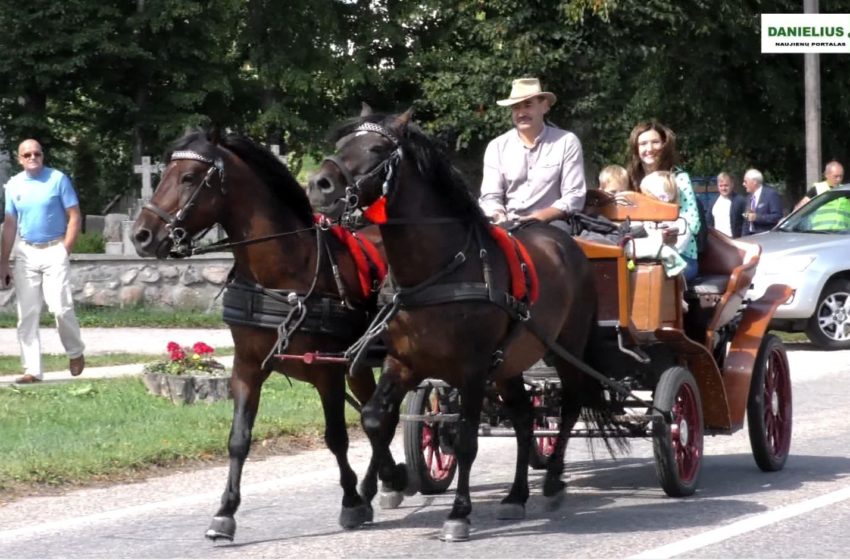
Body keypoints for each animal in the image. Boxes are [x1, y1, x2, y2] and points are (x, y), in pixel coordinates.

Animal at [132, 130, 408, 544]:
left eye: (189, 177)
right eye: (162, 173)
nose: (142, 236)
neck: (284, 273)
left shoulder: (326, 372)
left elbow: (336, 437)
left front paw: (350, 502)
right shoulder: (246, 368)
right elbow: (238, 439)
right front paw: (225, 512)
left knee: (381, 417)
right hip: (359, 363)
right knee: (374, 414)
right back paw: (385, 482)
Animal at [308, 110, 620, 544]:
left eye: (375, 149)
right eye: (340, 146)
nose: (318, 185)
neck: (437, 271)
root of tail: (567, 245)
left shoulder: (472, 370)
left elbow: (466, 439)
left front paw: (458, 513)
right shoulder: (404, 363)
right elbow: (376, 420)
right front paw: (380, 489)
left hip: (566, 350)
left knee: (570, 406)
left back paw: (553, 481)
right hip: (510, 364)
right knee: (525, 419)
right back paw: (516, 495)